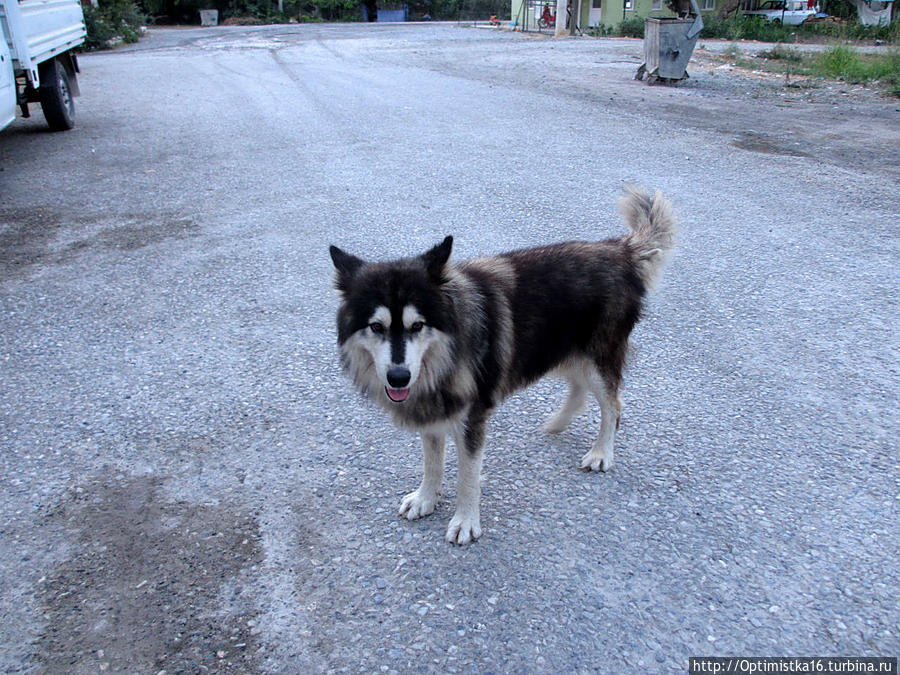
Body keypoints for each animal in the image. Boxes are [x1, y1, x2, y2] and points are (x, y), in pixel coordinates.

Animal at [330, 185, 676, 544]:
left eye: (417, 325)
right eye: (376, 327)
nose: (399, 377)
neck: (447, 352)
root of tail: (620, 250)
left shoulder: (472, 417)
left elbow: (467, 477)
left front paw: (466, 521)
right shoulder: (434, 410)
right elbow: (432, 462)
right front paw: (426, 498)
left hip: (597, 357)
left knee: (613, 405)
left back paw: (602, 452)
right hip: (562, 350)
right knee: (579, 390)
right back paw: (558, 423)